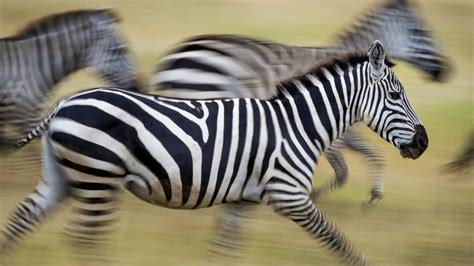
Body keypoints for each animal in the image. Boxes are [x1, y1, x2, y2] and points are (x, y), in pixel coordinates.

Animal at [0, 40, 430, 264]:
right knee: (85, 239)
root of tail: (63, 103)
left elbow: (225, 244)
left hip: (64, 178)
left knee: (22, 220)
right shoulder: (290, 196)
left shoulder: (245, 197)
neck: (299, 125)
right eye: (396, 95)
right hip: (97, 179)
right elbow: (337, 240)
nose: (423, 143)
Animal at [153, 0, 448, 258]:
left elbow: (371, 156)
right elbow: (345, 171)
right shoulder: (332, 135)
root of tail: (175, 55)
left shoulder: (343, 133)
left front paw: (373, 195)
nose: (445, 71)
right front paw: (315, 196)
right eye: (422, 33)